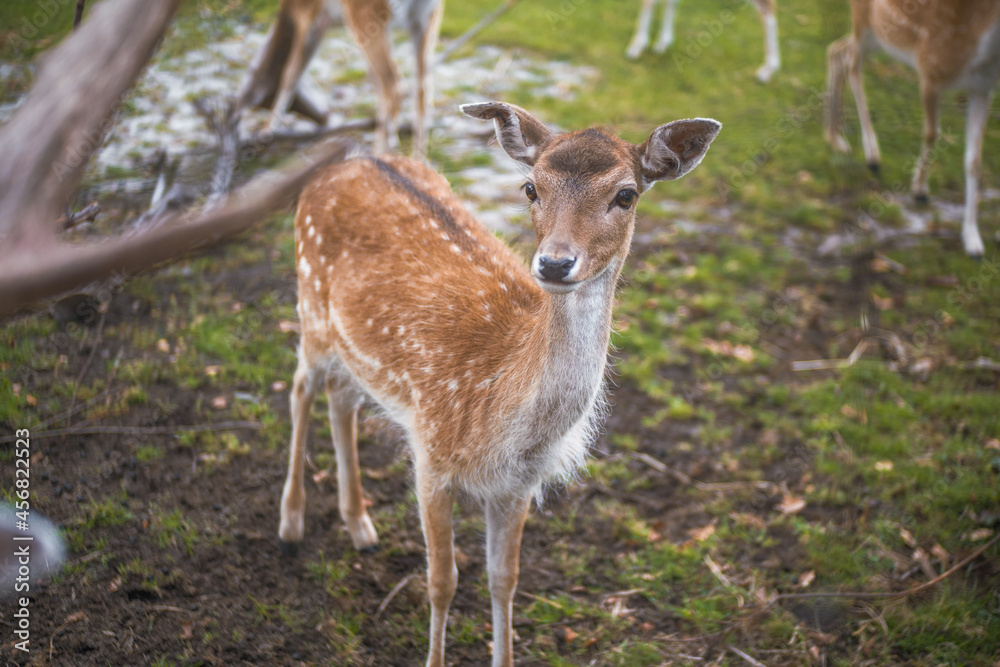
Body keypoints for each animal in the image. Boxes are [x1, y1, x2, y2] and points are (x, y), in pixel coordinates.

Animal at [238, 0, 443, 158]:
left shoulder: (308, 15)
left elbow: (290, 74)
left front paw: (265, 134)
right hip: (425, 20)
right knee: (423, 92)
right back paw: (419, 165)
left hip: (365, 15)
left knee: (395, 87)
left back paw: (377, 158)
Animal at [277, 102, 721, 666]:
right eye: (530, 187)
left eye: (626, 194)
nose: (554, 262)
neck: (500, 415)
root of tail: (344, 165)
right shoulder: (430, 455)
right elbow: (442, 581)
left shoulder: (518, 485)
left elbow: (504, 579)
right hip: (309, 308)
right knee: (300, 389)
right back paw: (290, 525)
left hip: (353, 352)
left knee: (341, 400)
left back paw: (361, 528)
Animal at [824, 0, 1000, 257]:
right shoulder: (929, 71)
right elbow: (931, 133)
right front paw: (919, 190)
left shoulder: (983, 88)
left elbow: (974, 160)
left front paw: (973, 240)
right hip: (864, 21)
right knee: (852, 63)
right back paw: (871, 154)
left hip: (880, 36)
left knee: (836, 50)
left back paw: (834, 137)